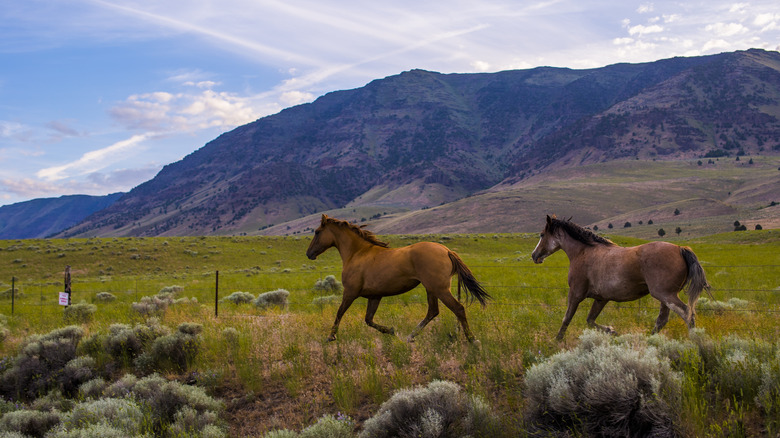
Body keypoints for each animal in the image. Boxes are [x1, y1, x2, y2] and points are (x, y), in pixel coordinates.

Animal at [304, 215, 488, 342]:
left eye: (317, 232)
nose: (309, 254)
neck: (357, 253)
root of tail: (447, 250)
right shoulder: (375, 296)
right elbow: (368, 320)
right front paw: (391, 331)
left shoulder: (350, 292)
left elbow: (340, 313)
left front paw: (331, 337)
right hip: (431, 289)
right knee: (433, 311)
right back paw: (411, 337)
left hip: (440, 289)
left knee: (458, 309)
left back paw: (472, 340)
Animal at [532, 215, 708, 338]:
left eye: (542, 235)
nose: (534, 255)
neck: (583, 252)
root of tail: (680, 249)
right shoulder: (601, 298)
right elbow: (590, 320)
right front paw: (612, 331)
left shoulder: (575, 293)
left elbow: (567, 318)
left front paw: (557, 341)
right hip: (665, 297)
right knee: (662, 320)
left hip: (666, 295)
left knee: (687, 313)